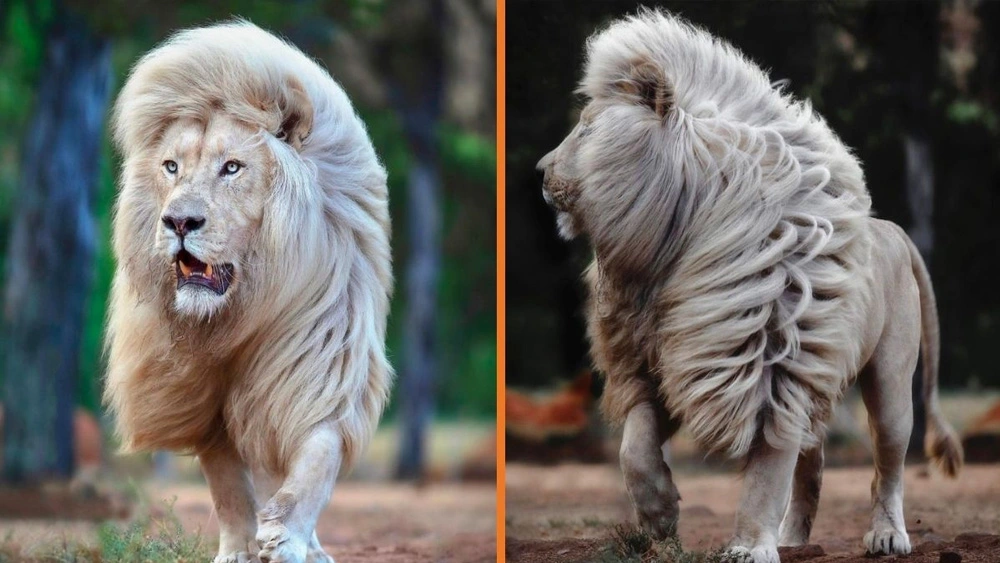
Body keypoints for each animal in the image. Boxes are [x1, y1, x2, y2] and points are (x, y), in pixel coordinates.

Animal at [105, 19, 392, 560]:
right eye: (172, 167)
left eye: (232, 167)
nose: (178, 221)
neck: (241, 310)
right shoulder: (199, 395)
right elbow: (228, 487)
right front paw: (238, 549)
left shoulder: (319, 366)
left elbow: (315, 462)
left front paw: (285, 540)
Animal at [544, 9, 964, 563]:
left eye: (587, 130)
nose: (541, 171)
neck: (670, 251)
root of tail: (893, 229)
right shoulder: (659, 362)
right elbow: (634, 450)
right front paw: (659, 519)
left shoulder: (775, 368)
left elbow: (766, 475)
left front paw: (747, 547)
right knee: (814, 465)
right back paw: (793, 538)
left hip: (891, 383)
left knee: (887, 467)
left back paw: (887, 535)